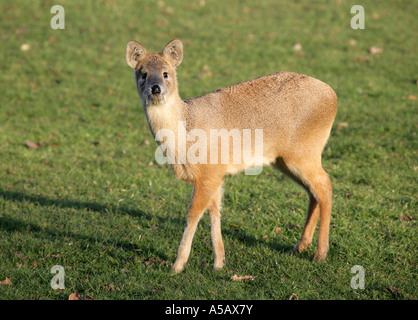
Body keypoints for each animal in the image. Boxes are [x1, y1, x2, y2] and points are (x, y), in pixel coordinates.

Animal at [125, 37, 338, 272]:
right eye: (143, 73)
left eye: (166, 73)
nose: (155, 88)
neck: (184, 133)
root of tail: (333, 96)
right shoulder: (215, 175)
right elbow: (214, 212)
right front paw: (219, 262)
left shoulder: (209, 173)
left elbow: (194, 213)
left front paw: (177, 265)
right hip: (286, 159)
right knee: (314, 191)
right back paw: (300, 246)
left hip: (304, 152)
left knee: (325, 186)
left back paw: (320, 253)